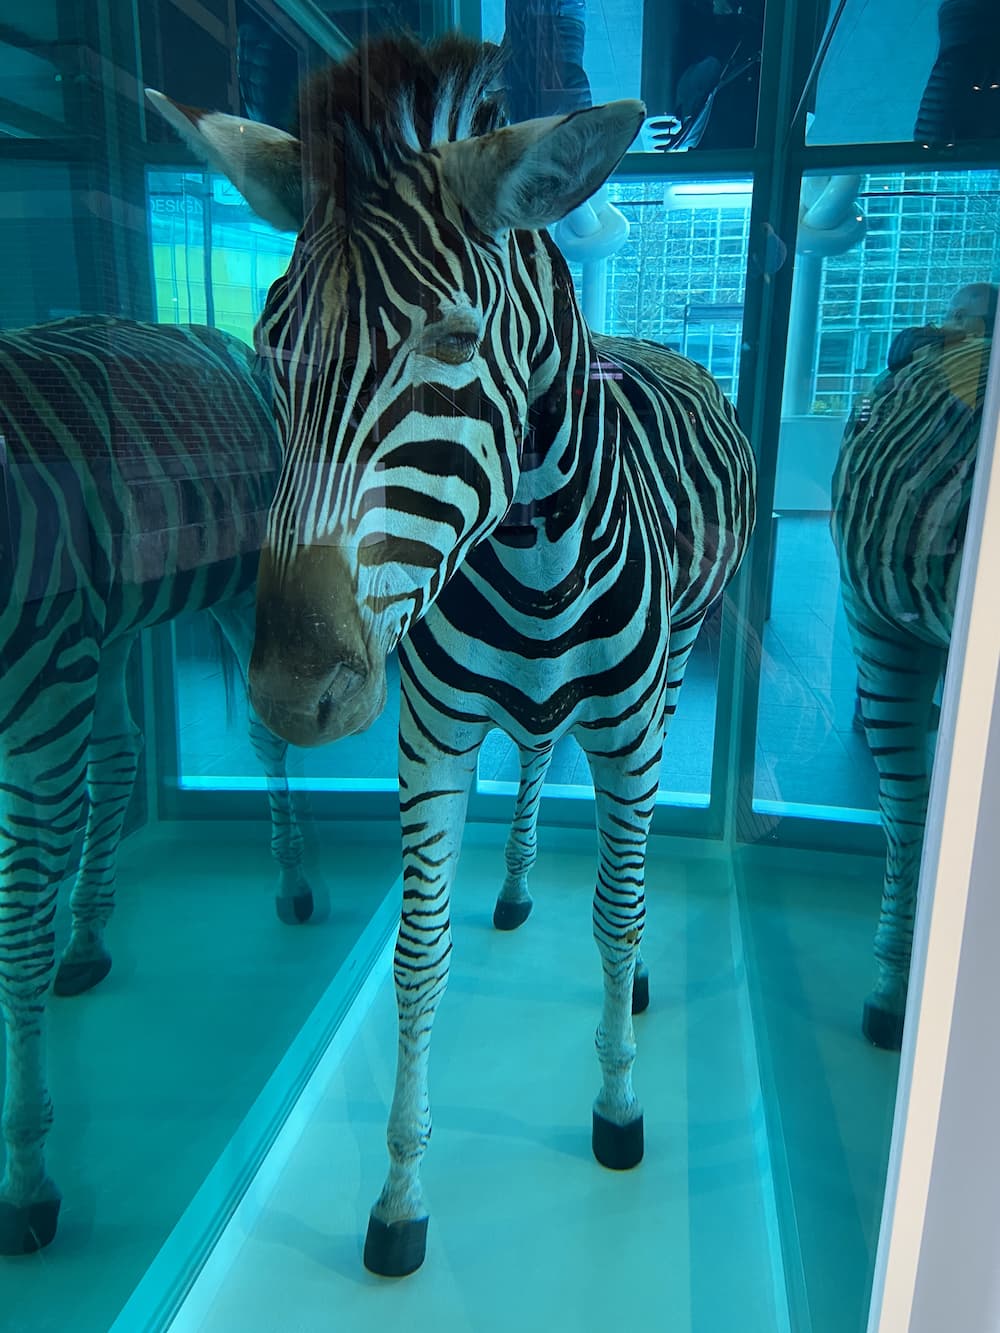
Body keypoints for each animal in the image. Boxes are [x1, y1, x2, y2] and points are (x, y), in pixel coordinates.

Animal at [0, 315, 320, 1255]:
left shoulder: (41, 701)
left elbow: (14, 935)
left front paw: (28, 1176)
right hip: (104, 631)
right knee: (119, 754)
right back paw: (87, 939)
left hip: (220, 596)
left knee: (258, 735)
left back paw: (293, 883)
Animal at [151, 32, 756, 1277]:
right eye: (270, 344)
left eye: (454, 342)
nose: (289, 693)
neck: (525, 554)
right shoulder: (431, 739)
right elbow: (416, 955)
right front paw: (398, 1195)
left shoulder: (627, 739)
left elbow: (616, 914)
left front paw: (617, 1106)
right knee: (532, 762)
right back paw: (518, 885)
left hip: (674, 668)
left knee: (622, 857)